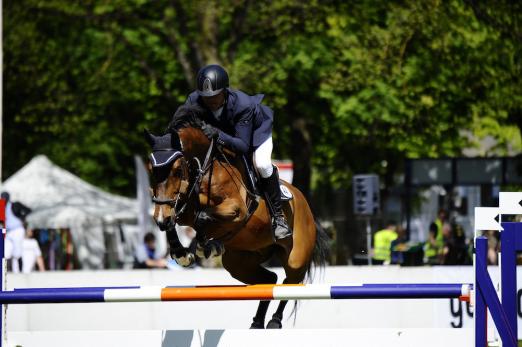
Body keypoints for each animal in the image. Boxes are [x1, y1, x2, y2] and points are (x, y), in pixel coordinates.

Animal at [144, 104, 328, 330]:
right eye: (151, 169)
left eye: (178, 170)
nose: (161, 218)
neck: (205, 168)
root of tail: (305, 203)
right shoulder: (180, 209)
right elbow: (181, 220)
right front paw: (182, 253)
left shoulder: (236, 209)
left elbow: (202, 217)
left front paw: (205, 246)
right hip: (239, 262)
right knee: (269, 279)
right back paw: (257, 322)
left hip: (296, 256)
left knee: (291, 282)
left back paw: (274, 321)